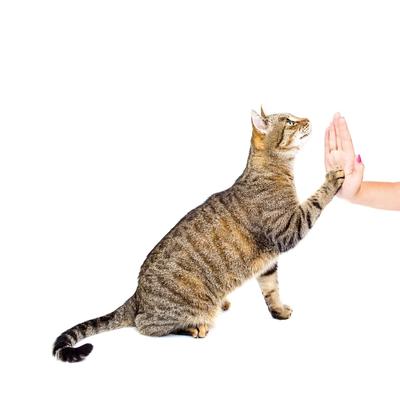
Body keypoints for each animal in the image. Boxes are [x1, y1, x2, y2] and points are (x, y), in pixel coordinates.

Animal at [52, 107, 344, 362]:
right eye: (290, 121)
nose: (308, 119)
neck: (274, 170)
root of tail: (137, 296)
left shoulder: (268, 261)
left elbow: (271, 289)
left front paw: (279, 310)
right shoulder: (287, 228)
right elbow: (315, 201)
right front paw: (332, 178)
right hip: (178, 310)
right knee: (145, 325)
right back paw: (194, 326)